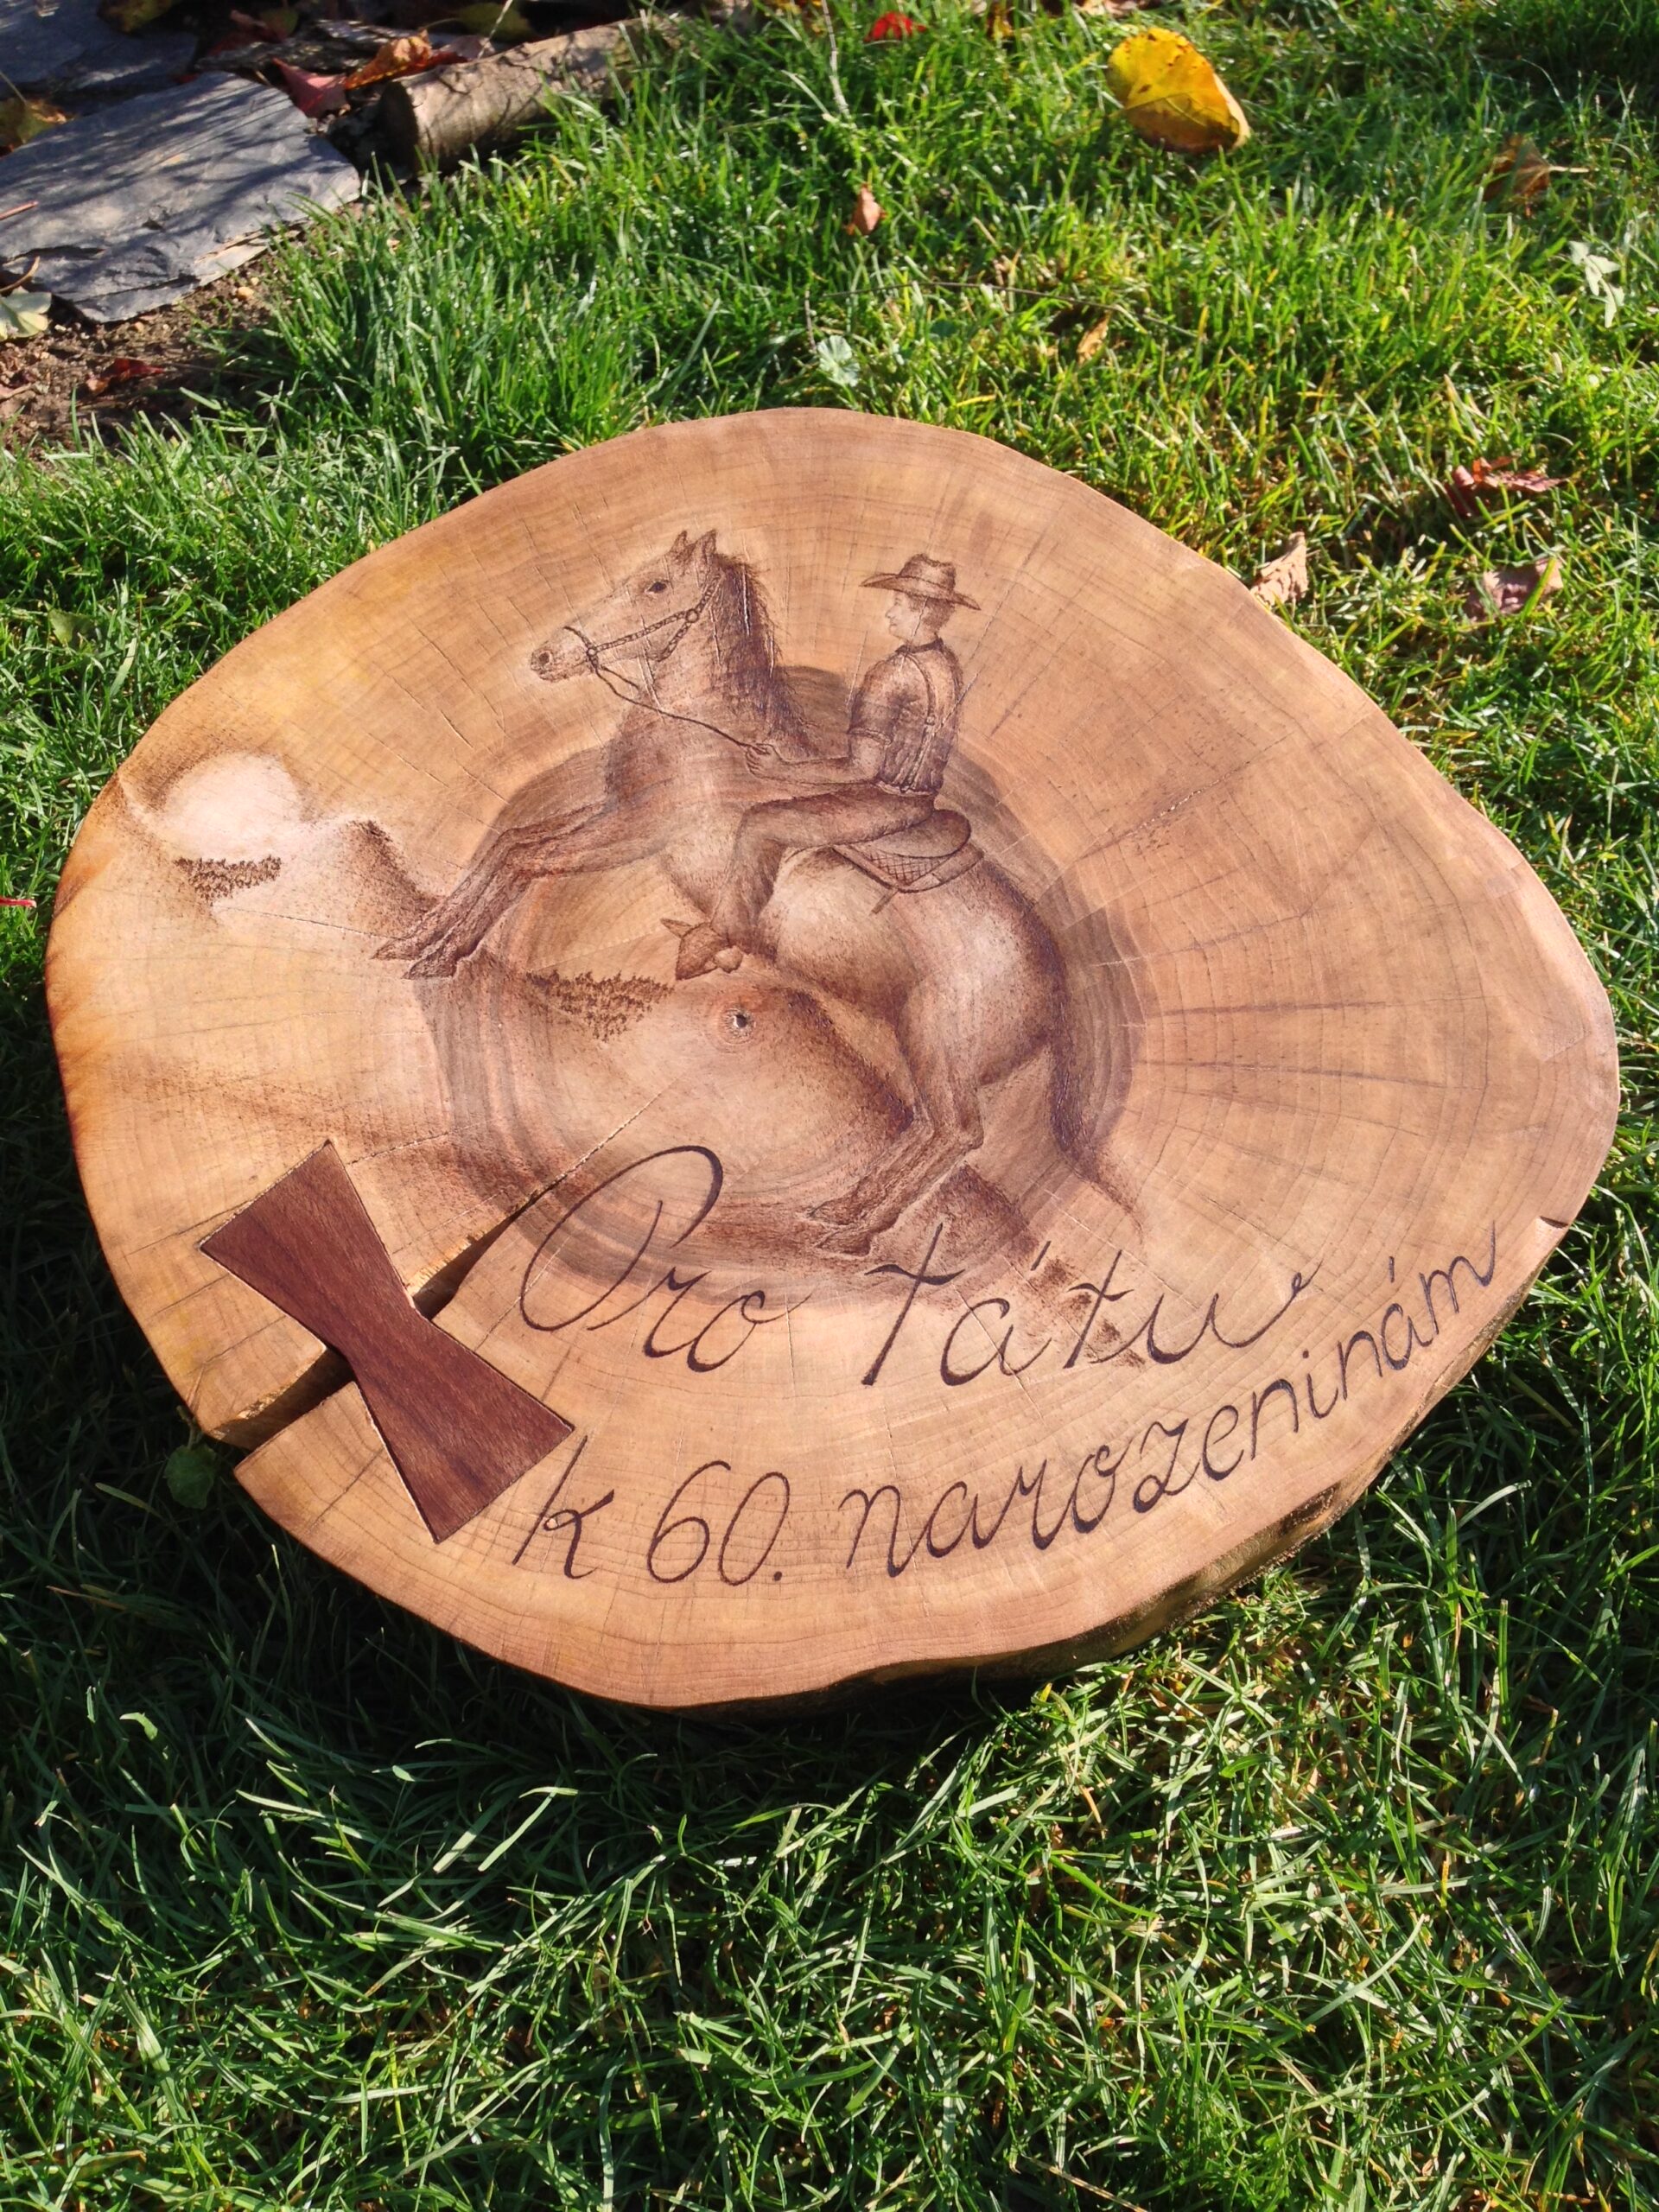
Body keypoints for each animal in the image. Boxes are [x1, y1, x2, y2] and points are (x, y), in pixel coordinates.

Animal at [380, 529, 1133, 1247]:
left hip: (937, 1043)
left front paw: (438, 955)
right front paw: (412, 943)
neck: (704, 740)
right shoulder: (611, 814)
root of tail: (1058, 984)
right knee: (924, 1130)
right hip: (923, 1048)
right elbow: (509, 847)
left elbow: (524, 863)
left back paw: (856, 1234)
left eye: (656, 586)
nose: (545, 657)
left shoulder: (633, 833)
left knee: (957, 1136)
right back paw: (839, 1209)